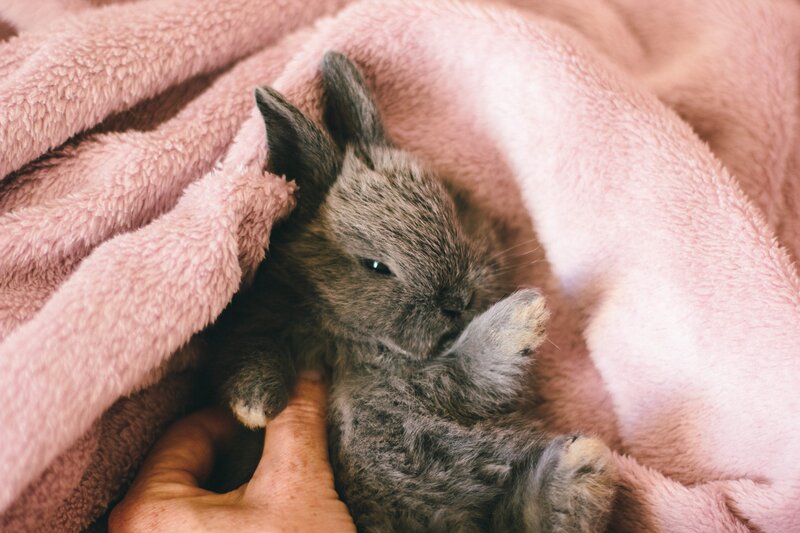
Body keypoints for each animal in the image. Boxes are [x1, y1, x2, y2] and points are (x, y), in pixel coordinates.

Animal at [206, 51, 616, 532]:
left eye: (455, 211)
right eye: (376, 266)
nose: (457, 302)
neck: (359, 340)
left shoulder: (437, 384)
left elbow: (471, 367)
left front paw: (522, 315)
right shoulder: (266, 321)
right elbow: (253, 348)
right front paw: (255, 407)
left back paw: (580, 469)